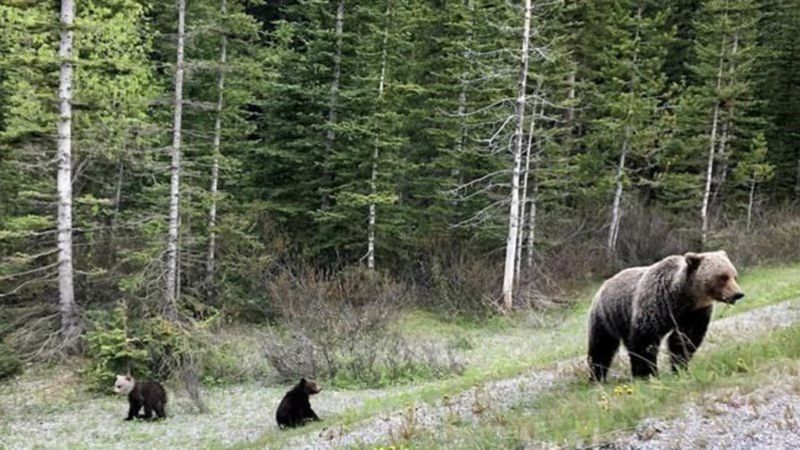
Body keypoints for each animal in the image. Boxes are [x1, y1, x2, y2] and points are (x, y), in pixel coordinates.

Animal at [588, 250, 744, 380]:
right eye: (722, 277)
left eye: (734, 276)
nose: (738, 294)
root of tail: (605, 284)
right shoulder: (655, 304)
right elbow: (645, 341)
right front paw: (647, 374)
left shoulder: (694, 314)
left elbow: (684, 340)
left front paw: (680, 368)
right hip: (606, 315)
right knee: (602, 346)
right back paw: (597, 376)